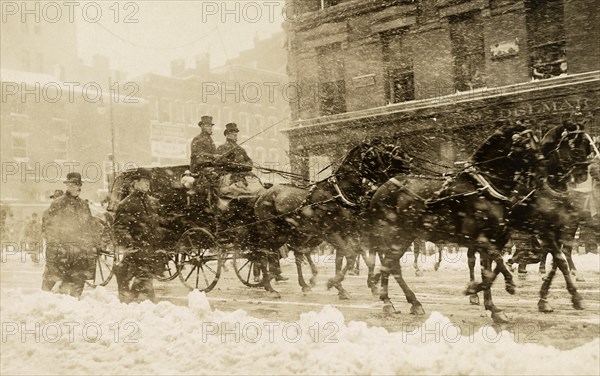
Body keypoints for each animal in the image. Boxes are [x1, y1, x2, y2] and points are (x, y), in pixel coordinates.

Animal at [253, 140, 412, 298]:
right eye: (377, 154)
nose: (409, 164)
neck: (338, 194)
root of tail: (262, 195)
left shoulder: (347, 232)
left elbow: (344, 259)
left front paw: (342, 288)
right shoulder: (333, 232)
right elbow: (351, 256)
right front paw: (335, 283)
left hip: (287, 234)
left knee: (288, 253)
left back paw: (297, 283)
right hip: (272, 232)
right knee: (264, 253)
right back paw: (270, 286)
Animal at [368, 121, 540, 324]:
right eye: (526, 143)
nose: (543, 166)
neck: (483, 188)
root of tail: (381, 189)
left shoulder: (495, 240)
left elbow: (491, 271)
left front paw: (491, 306)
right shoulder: (480, 239)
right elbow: (497, 264)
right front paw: (502, 286)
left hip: (405, 236)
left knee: (392, 265)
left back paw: (410, 301)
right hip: (395, 235)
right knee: (390, 265)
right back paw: (388, 302)